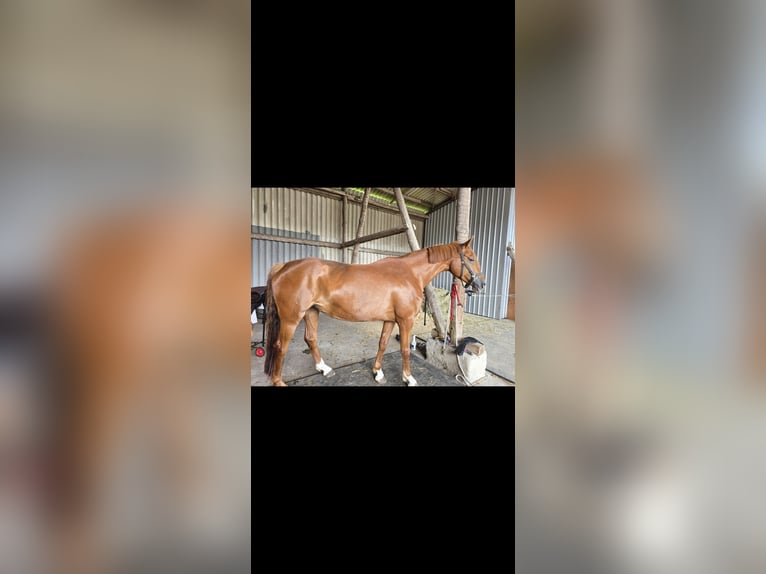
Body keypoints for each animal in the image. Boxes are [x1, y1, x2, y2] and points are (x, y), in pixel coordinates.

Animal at [263, 237, 485, 386]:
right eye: (470, 258)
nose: (481, 285)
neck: (409, 274)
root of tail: (282, 267)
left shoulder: (390, 320)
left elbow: (383, 344)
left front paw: (378, 373)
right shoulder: (405, 320)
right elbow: (405, 349)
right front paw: (409, 378)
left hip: (311, 312)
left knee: (310, 339)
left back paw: (324, 369)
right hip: (291, 319)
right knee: (280, 346)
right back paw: (279, 381)